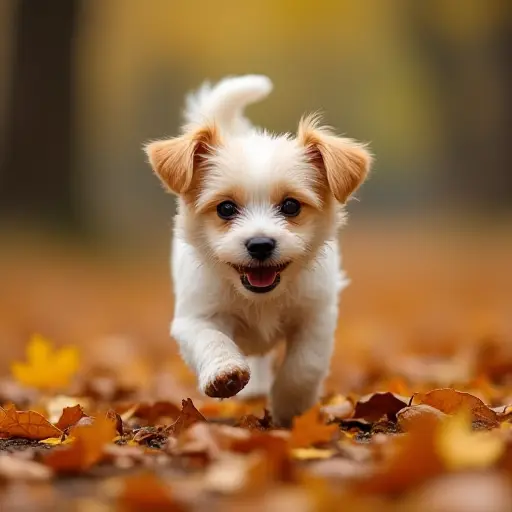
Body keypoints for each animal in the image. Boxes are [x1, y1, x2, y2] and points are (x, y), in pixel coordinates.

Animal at [144, 75, 372, 428]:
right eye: (225, 208)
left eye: (291, 206)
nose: (260, 244)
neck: (259, 299)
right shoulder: (194, 318)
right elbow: (212, 340)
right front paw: (225, 373)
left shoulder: (316, 315)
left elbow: (304, 365)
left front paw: (291, 406)